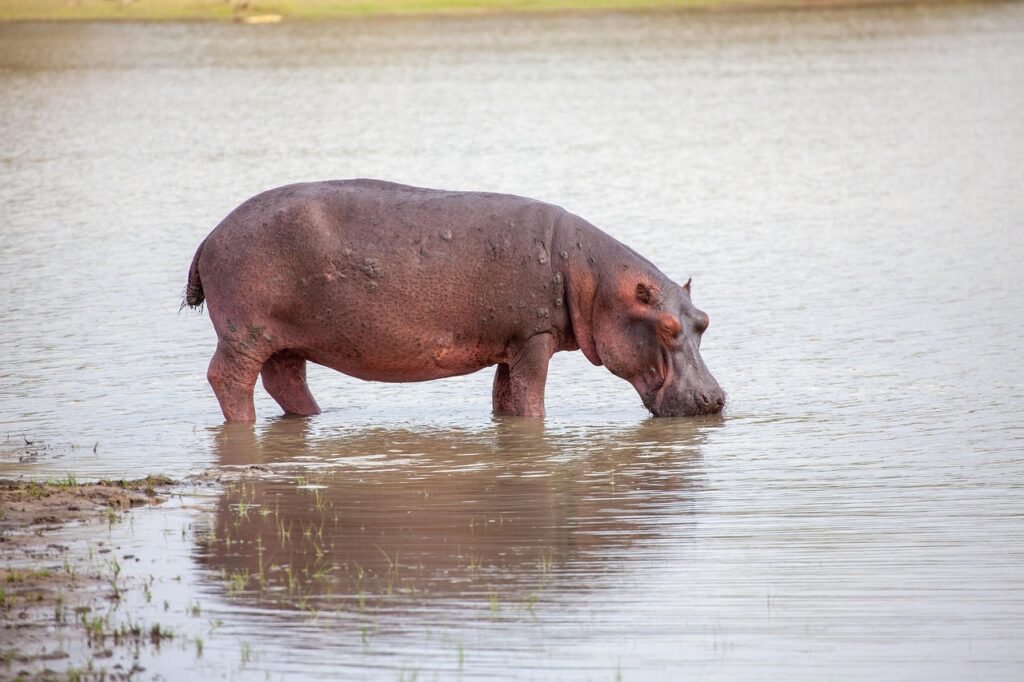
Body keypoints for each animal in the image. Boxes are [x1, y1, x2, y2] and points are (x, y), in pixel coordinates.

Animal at [185, 179, 724, 421]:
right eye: (667, 328)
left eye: (703, 320)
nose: (715, 399)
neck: (594, 278)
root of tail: (208, 236)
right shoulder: (534, 336)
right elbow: (531, 397)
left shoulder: (511, 342)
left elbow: (506, 398)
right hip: (246, 333)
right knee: (228, 378)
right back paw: (245, 423)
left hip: (285, 341)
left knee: (286, 381)